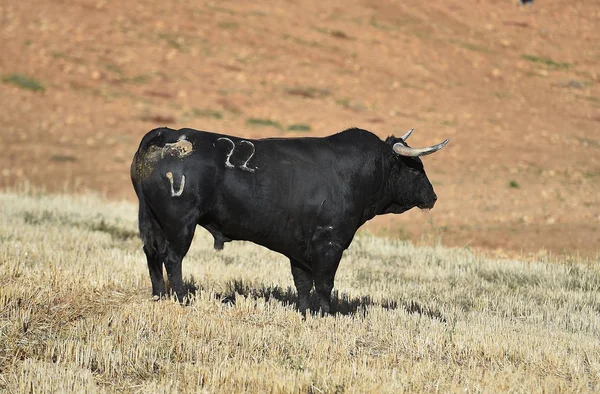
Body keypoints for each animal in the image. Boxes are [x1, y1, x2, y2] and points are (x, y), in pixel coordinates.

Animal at [132, 126, 450, 314]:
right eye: (415, 167)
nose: (433, 196)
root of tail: (168, 133)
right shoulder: (329, 243)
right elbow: (324, 283)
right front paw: (326, 314)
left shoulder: (298, 248)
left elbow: (303, 283)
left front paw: (306, 312)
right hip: (180, 224)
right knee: (172, 258)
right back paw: (182, 299)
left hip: (153, 220)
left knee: (152, 254)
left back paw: (159, 296)